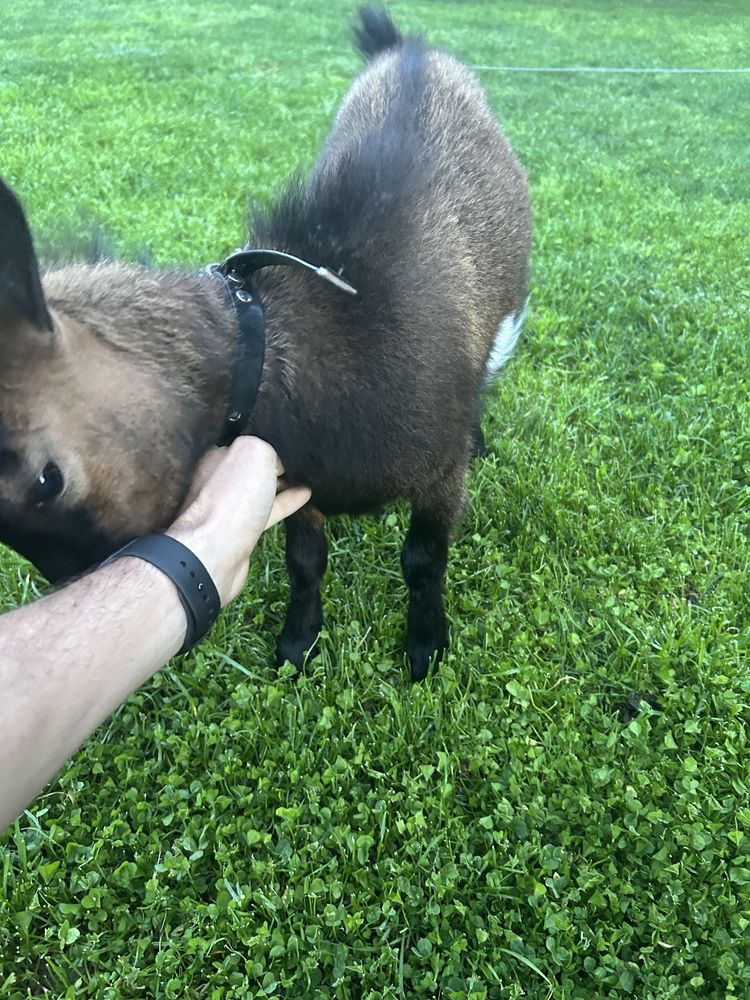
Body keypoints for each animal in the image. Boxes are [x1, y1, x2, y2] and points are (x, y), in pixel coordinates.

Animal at [0, 7, 532, 676]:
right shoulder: (296, 485)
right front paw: (298, 642)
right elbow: (305, 562)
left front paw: (426, 644)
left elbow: (423, 559)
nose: (78, 579)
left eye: (48, 480)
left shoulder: (438, 476)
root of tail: (407, 50)